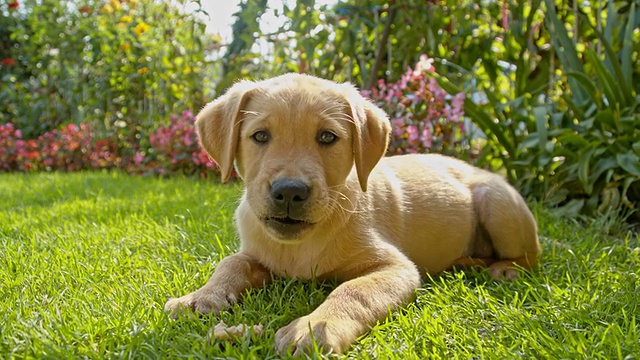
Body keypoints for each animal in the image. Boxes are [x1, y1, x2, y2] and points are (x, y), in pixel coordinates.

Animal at [165, 73, 540, 354]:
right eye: (259, 136)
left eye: (327, 137)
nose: (289, 191)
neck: (300, 247)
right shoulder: (255, 253)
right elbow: (230, 263)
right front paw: (201, 297)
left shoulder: (396, 268)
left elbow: (353, 291)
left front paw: (314, 327)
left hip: (497, 203)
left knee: (530, 256)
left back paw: (505, 268)